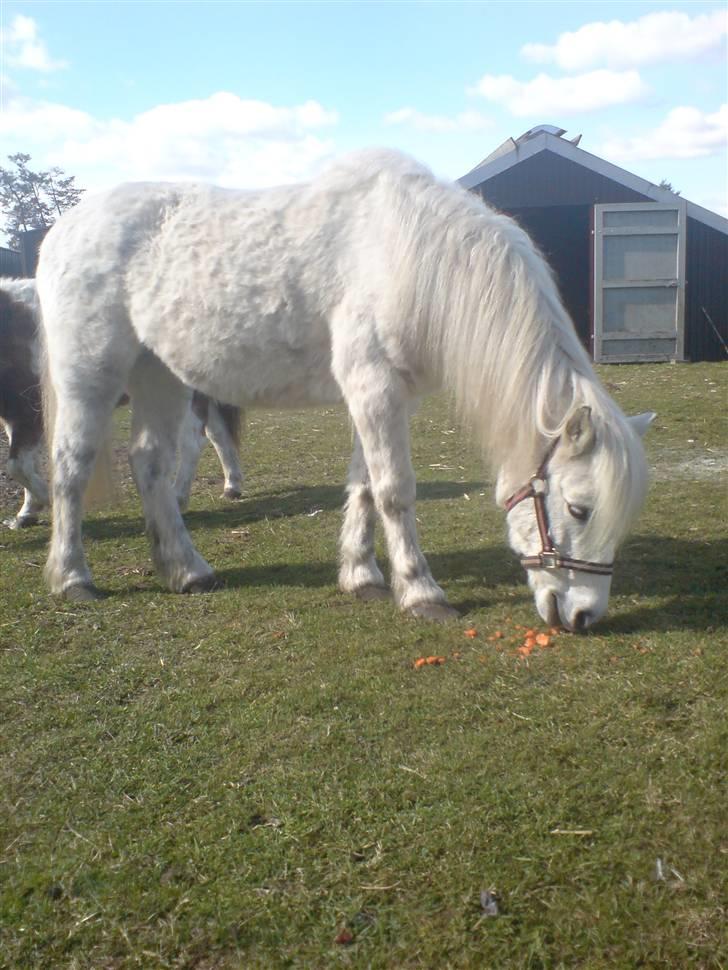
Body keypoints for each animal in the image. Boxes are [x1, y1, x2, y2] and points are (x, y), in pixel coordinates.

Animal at [35, 147, 656, 624]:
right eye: (578, 509)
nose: (584, 616)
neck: (406, 256)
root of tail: (64, 228)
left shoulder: (382, 394)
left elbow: (363, 485)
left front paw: (362, 577)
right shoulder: (374, 387)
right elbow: (394, 490)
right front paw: (421, 592)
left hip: (159, 374)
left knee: (151, 464)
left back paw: (186, 571)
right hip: (91, 372)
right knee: (70, 466)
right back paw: (73, 578)